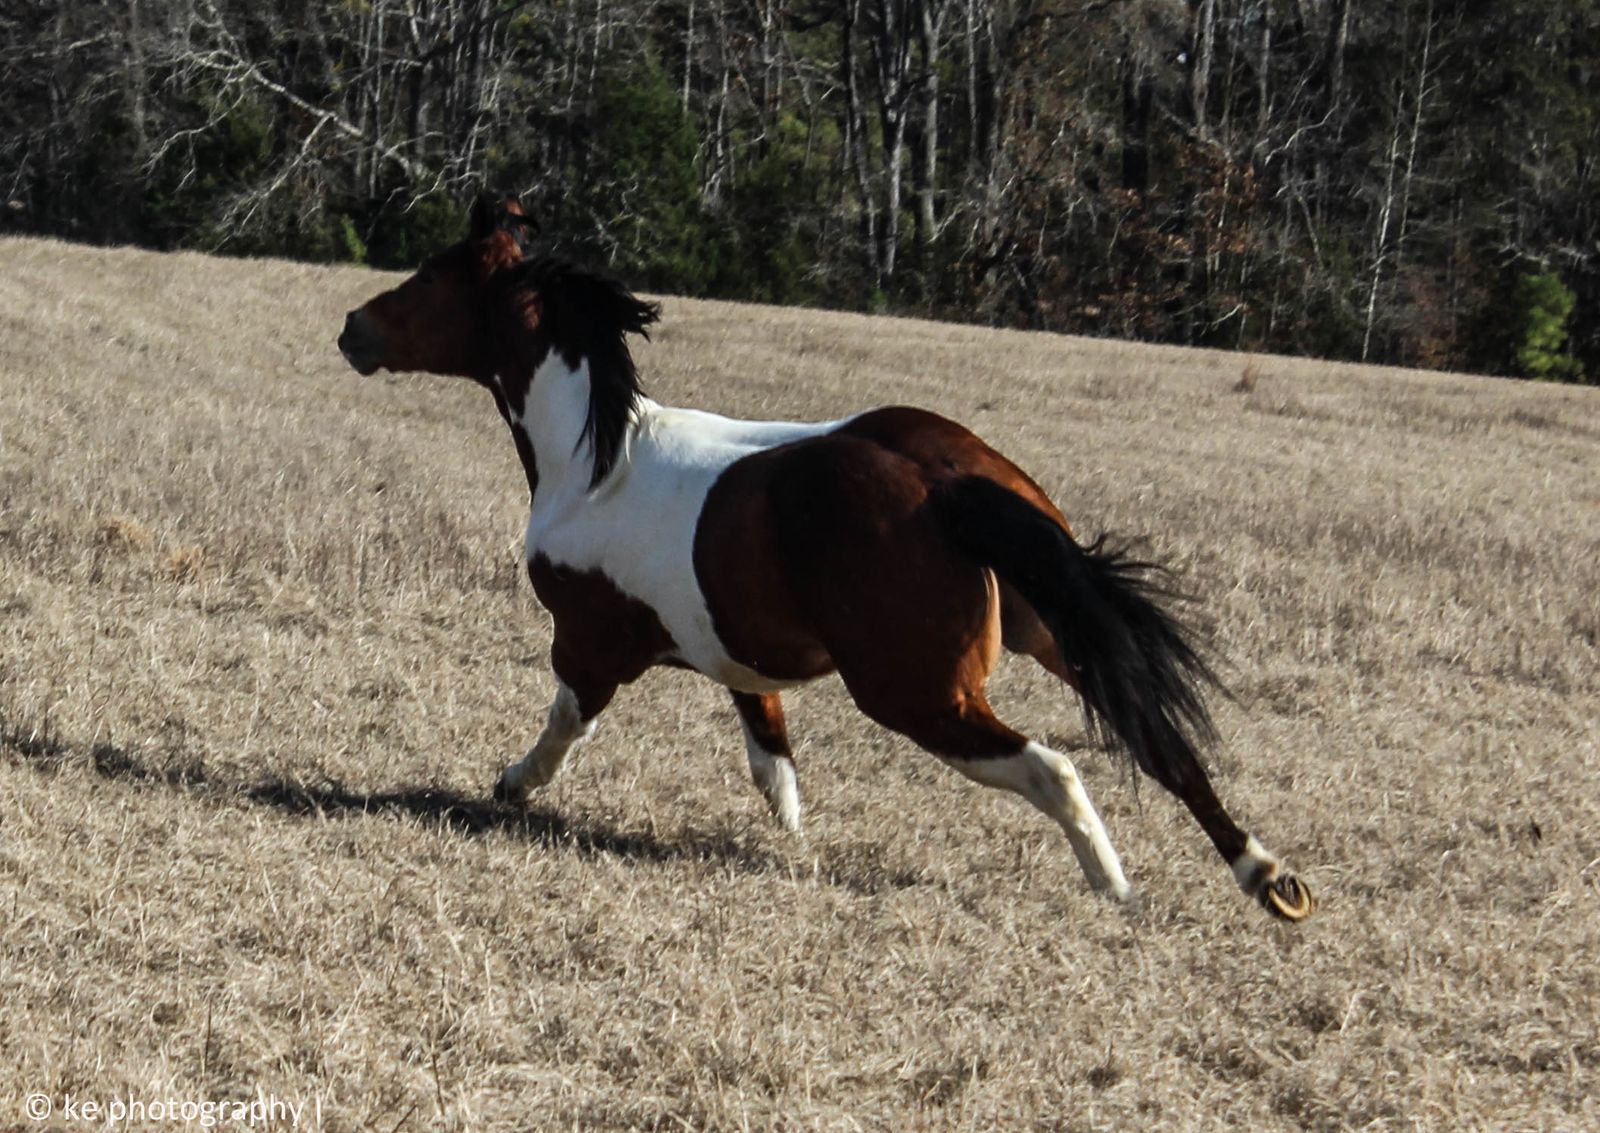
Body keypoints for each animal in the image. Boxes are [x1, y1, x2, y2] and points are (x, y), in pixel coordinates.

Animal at [337, 192, 1314, 921]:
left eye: (430, 275)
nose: (351, 328)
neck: (596, 458)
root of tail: (946, 480)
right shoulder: (731, 645)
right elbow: (768, 745)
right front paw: (790, 827)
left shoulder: (591, 646)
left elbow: (563, 727)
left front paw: (508, 787)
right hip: (1055, 636)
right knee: (1163, 744)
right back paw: (1268, 877)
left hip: (917, 694)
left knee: (1055, 766)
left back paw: (1116, 889)